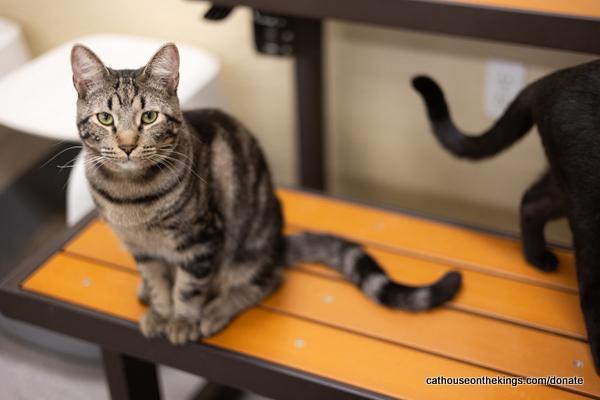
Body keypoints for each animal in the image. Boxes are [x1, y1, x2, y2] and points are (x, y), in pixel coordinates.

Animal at [71, 43, 464, 344]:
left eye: (149, 117)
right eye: (106, 119)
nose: (127, 146)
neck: (131, 197)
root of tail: (278, 243)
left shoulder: (200, 241)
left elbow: (187, 287)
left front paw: (181, 320)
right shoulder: (141, 249)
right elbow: (158, 283)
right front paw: (159, 311)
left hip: (249, 246)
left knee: (268, 279)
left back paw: (215, 310)